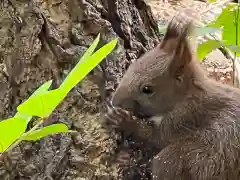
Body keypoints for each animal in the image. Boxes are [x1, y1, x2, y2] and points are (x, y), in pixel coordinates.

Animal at [107, 14, 240, 180]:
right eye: (131, 66)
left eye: (147, 89)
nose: (114, 101)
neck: (186, 95)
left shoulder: (186, 116)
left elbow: (158, 138)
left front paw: (125, 121)